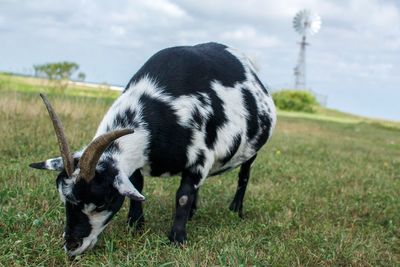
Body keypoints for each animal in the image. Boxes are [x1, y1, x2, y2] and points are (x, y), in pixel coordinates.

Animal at [29, 42, 276, 258]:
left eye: (102, 203)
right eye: (63, 200)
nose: (72, 246)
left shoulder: (200, 157)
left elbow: (183, 196)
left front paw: (177, 238)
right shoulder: (137, 162)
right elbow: (138, 186)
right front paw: (135, 224)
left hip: (251, 151)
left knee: (244, 175)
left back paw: (235, 210)